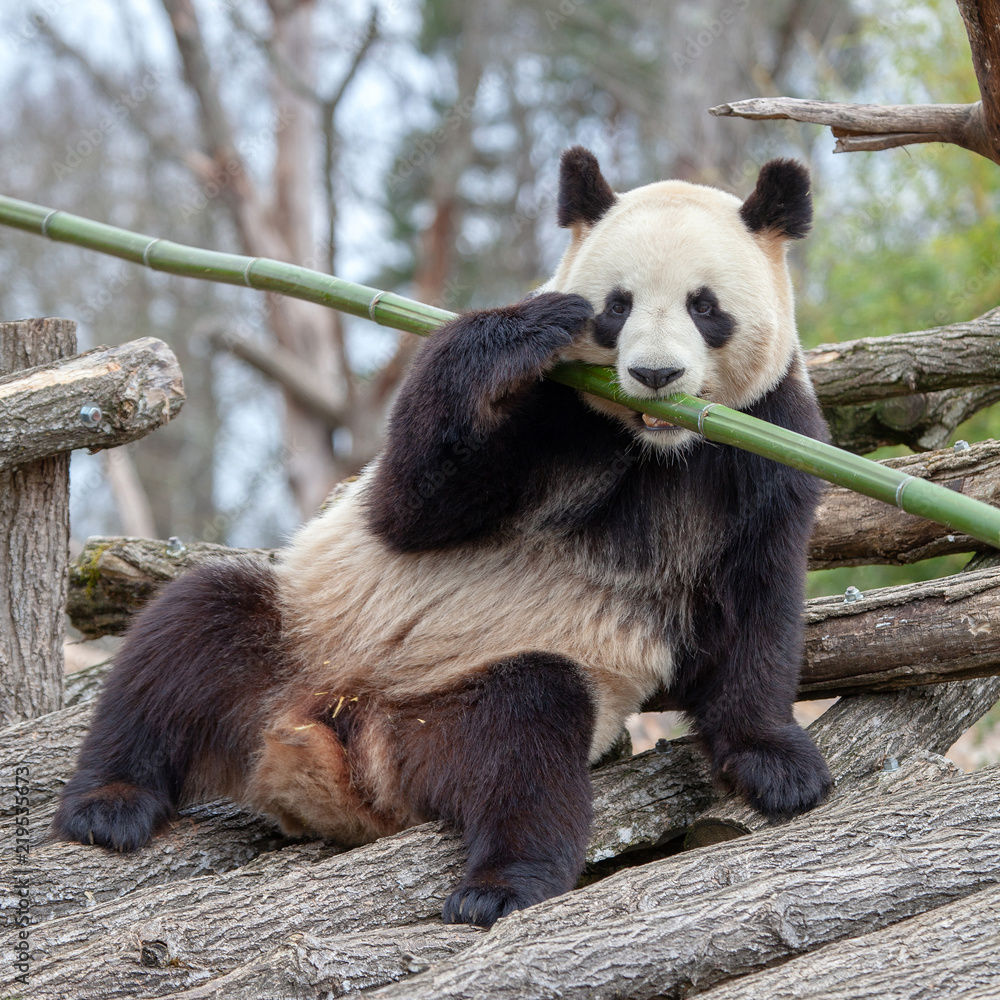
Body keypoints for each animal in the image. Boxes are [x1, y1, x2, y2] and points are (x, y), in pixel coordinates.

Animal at [54, 146, 832, 928]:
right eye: (618, 306)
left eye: (705, 306)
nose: (654, 375)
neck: (652, 446)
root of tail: (338, 741)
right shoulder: (553, 411)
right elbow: (412, 505)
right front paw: (526, 328)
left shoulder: (770, 445)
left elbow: (755, 604)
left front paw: (779, 769)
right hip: (298, 636)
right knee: (188, 636)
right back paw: (108, 803)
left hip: (444, 714)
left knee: (522, 737)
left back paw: (501, 881)